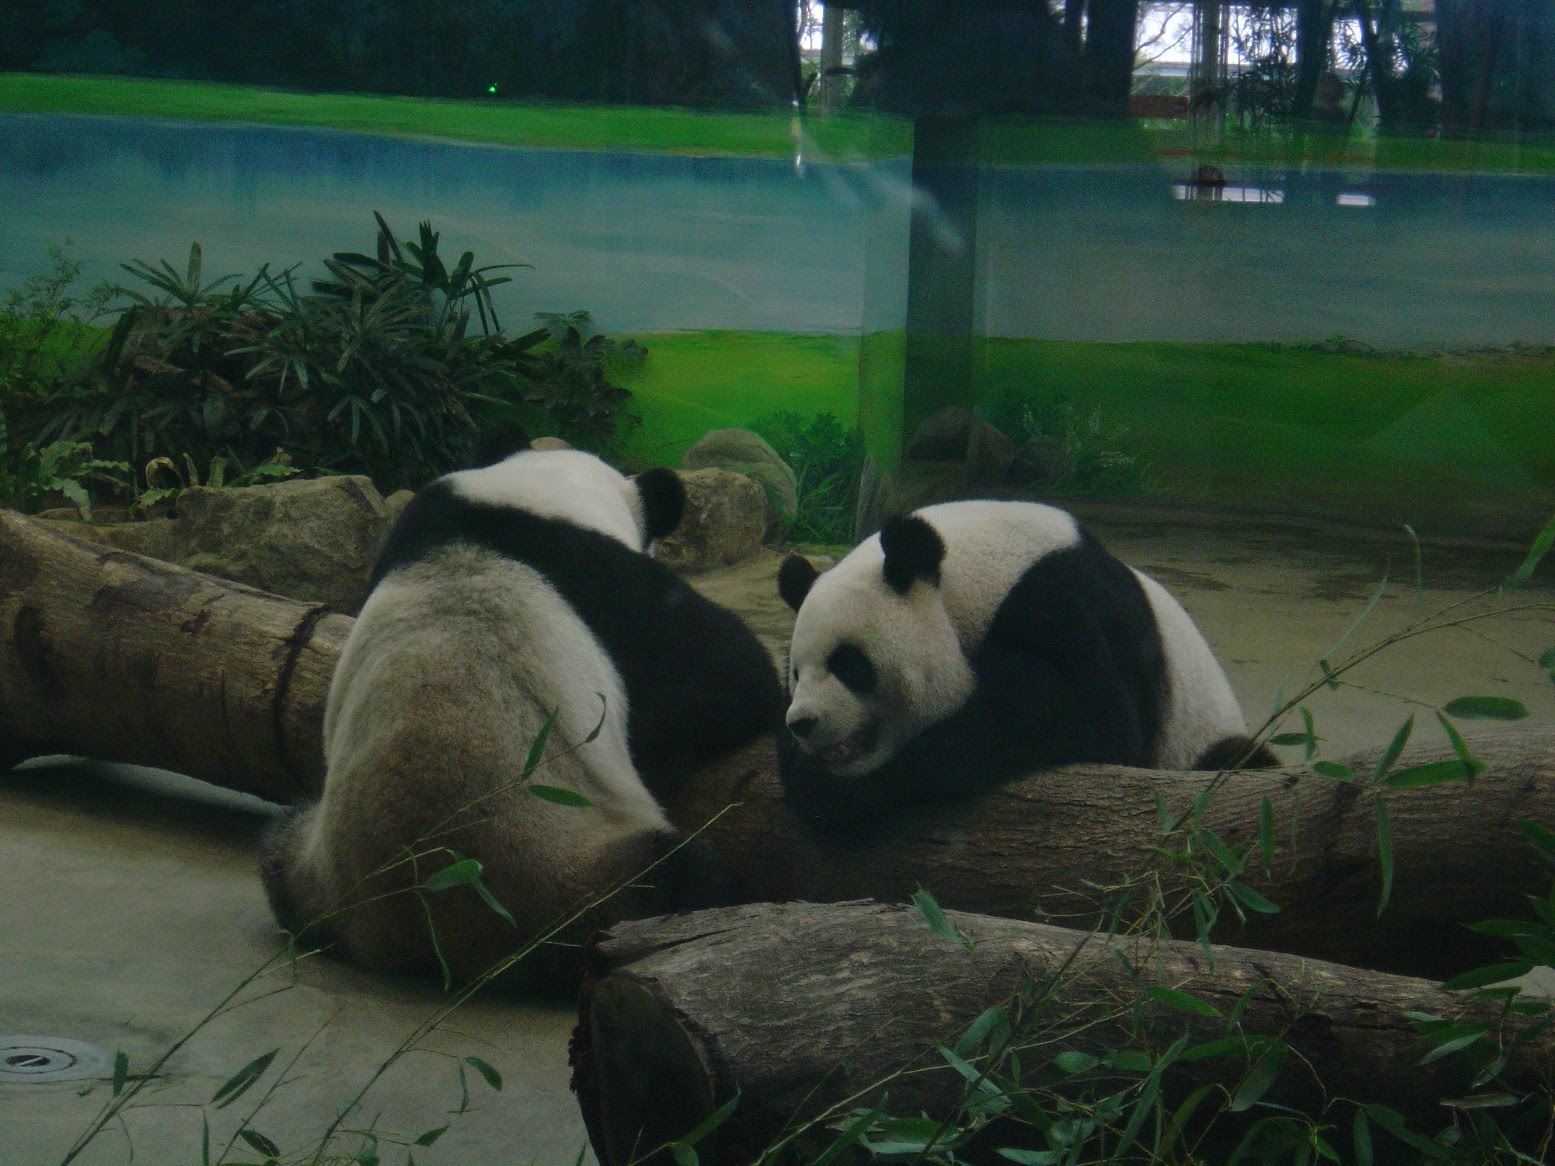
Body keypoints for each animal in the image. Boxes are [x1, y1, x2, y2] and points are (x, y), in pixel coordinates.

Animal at [260, 431, 783, 990]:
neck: (542, 491)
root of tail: (418, 931)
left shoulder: (423, 516)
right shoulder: (608, 580)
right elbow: (728, 680)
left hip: (311, 864)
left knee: (277, 843)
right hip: (570, 876)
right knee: (680, 878)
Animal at [776, 499, 1276, 839]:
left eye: (848, 664)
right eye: (797, 672)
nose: (804, 722)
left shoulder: (1063, 600)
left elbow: (1090, 717)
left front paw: (844, 795)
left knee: (1238, 762)